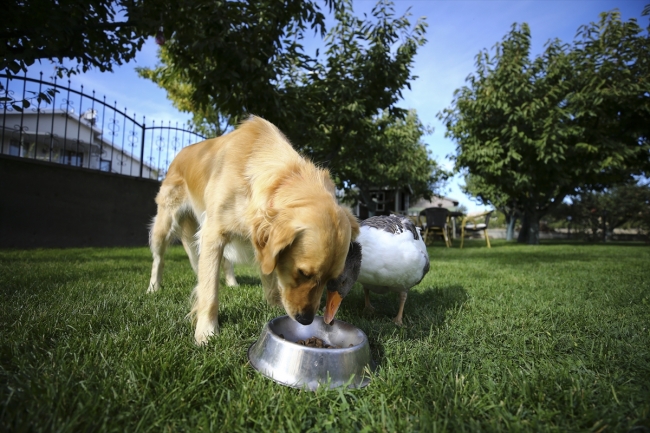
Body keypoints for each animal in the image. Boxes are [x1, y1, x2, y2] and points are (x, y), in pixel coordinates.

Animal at [147, 115, 360, 344]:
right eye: (303, 273)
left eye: (331, 279)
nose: (306, 320)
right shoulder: (213, 233)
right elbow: (210, 289)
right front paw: (206, 332)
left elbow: (270, 274)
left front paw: (274, 303)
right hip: (165, 223)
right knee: (159, 259)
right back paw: (154, 287)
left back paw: (231, 282)